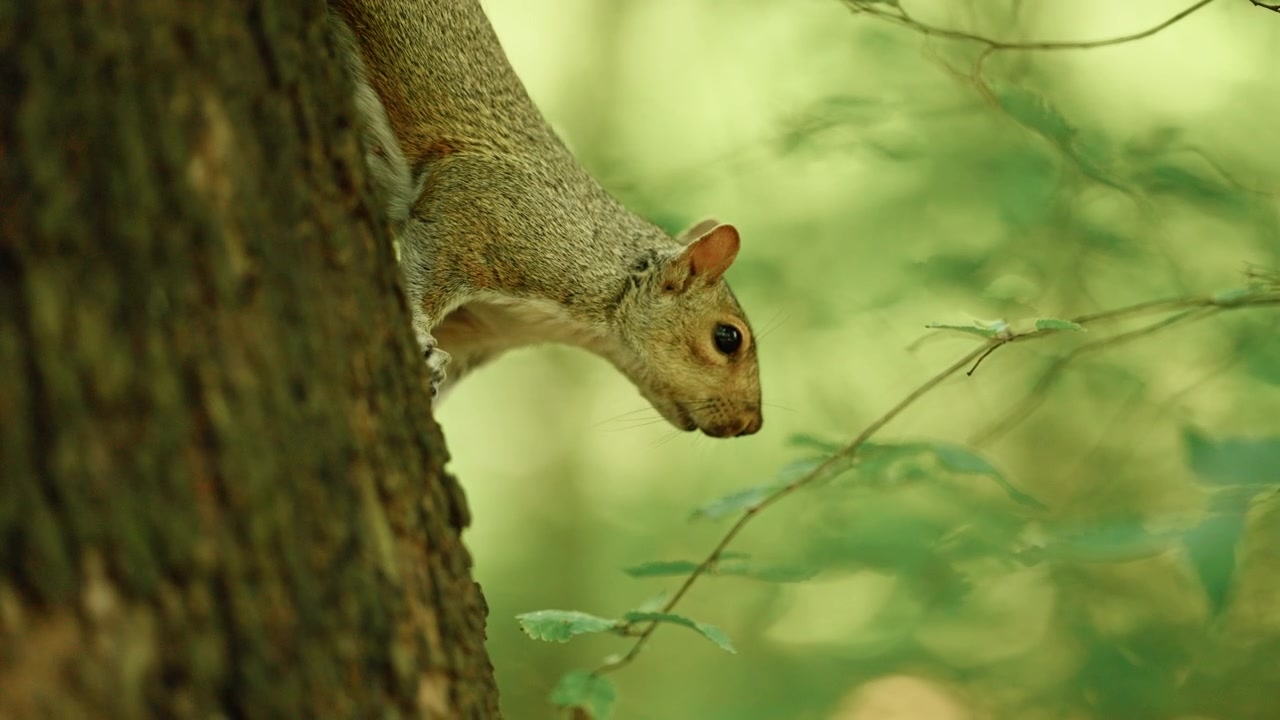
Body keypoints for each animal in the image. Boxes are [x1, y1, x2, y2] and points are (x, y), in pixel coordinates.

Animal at [328, 0, 762, 438]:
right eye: (728, 338)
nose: (751, 423)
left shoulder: (481, 325)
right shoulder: (476, 214)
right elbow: (429, 277)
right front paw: (420, 335)